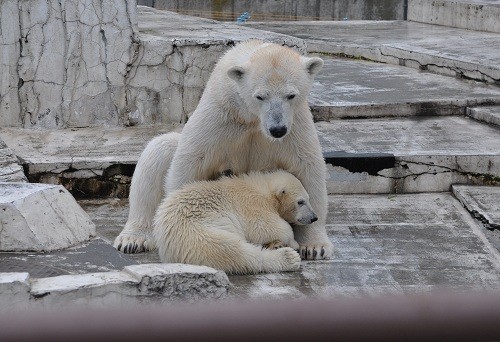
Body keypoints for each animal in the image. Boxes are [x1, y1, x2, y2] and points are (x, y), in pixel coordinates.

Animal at [113, 39, 332, 260]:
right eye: (260, 96)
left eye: (291, 95)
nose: (277, 129)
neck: (250, 118)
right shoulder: (219, 114)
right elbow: (190, 161)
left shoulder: (296, 123)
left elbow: (307, 166)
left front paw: (315, 246)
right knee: (158, 152)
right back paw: (133, 239)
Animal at [152, 171, 316, 276]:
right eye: (301, 202)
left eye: (309, 199)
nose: (314, 217)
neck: (264, 187)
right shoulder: (252, 204)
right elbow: (264, 226)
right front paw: (293, 242)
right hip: (198, 235)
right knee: (237, 252)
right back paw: (288, 257)